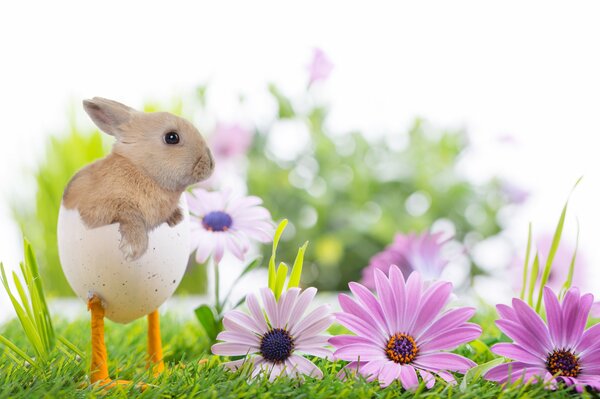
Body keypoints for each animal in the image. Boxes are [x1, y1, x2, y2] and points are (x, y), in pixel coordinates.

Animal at [62, 98, 213, 260]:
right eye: (172, 137)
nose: (211, 163)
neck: (142, 170)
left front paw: (176, 217)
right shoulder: (100, 208)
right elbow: (130, 215)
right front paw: (133, 248)